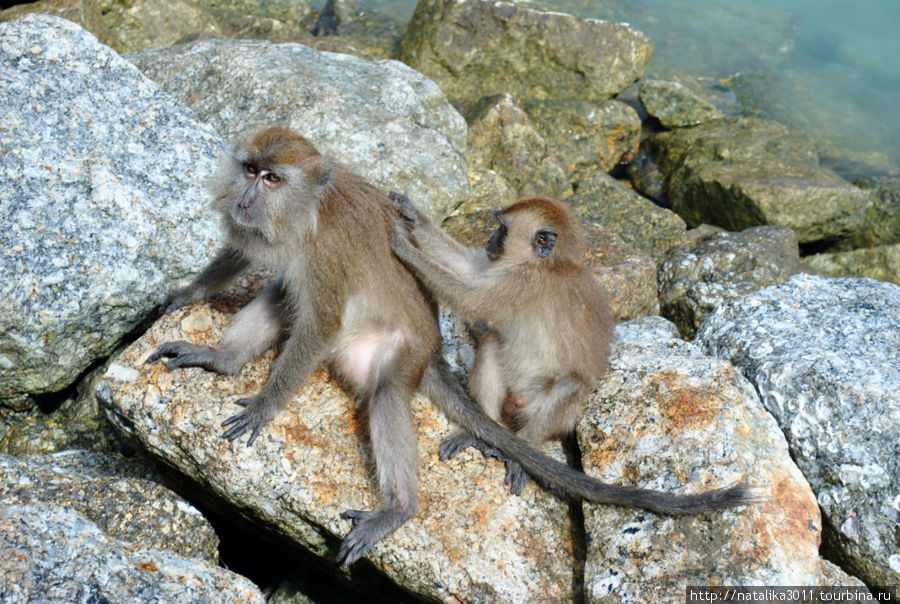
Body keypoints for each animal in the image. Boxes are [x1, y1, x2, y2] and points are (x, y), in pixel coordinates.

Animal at [151, 126, 756, 568]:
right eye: (250, 170)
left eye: (274, 178)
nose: (247, 197)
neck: (309, 211)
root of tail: (435, 355)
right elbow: (251, 261)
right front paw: (187, 294)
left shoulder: (325, 255)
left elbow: (320, 323)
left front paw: (267, 404)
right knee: (283, 294)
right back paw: (223, 361)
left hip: (402, 352)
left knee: (385, 392)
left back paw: (400, 508)